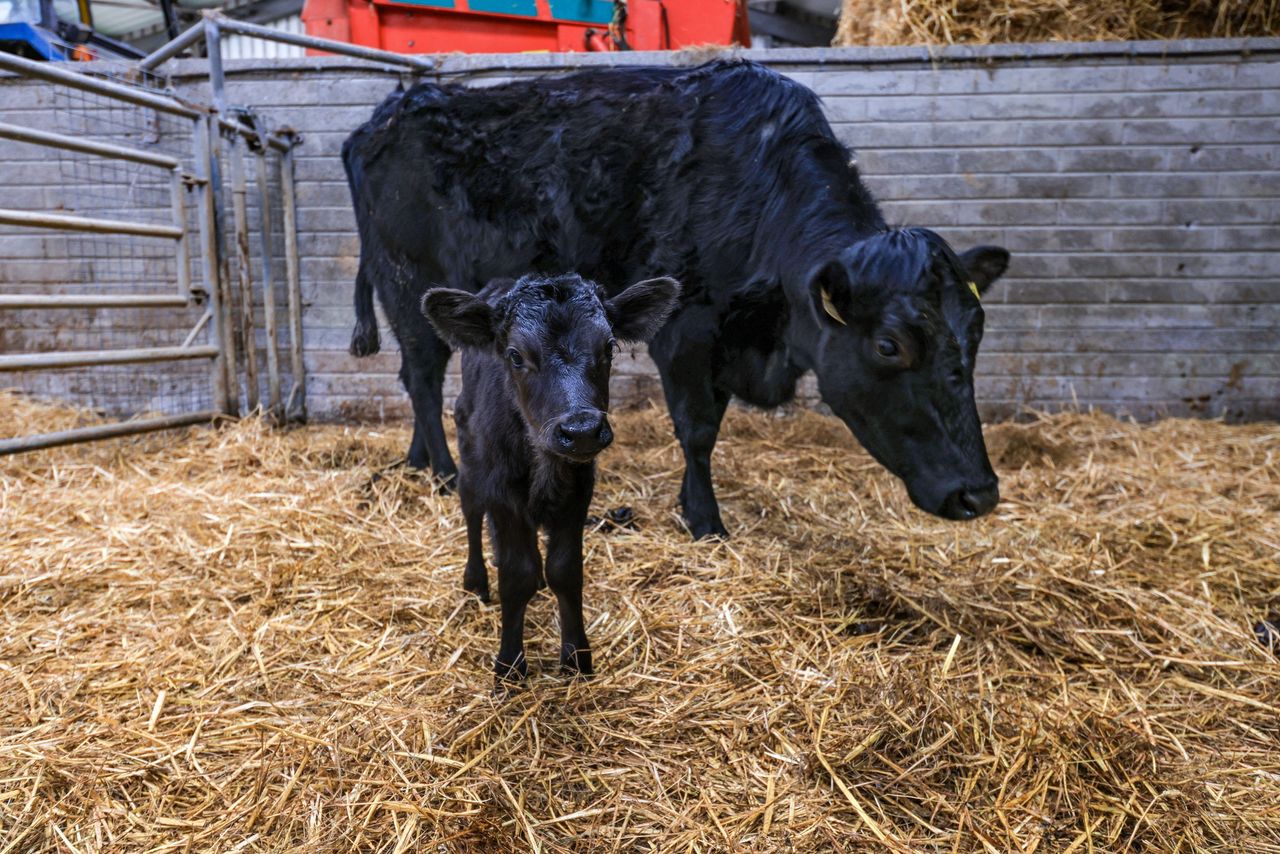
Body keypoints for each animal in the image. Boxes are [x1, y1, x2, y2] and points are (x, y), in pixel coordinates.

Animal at [343, 58, 1010, 540]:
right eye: (889, 346)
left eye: (976, 331)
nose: (977, 493)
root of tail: (387, 114)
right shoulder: (686, 330)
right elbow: (698, 429)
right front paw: (704, 520)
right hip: (410, 285)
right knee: (423, 377)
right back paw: (444, 471)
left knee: (414, 378)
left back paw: (417, 461)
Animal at [421, 272, 681, 683]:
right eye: (515, 355)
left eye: (608, 348)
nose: (582, 430)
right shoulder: (501, 490)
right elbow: (517, 574)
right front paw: (510, 667)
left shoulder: (579, 492)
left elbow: (565, 570)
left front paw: (577, 659)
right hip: (469, 452)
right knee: (472, 510)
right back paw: (475, 580)